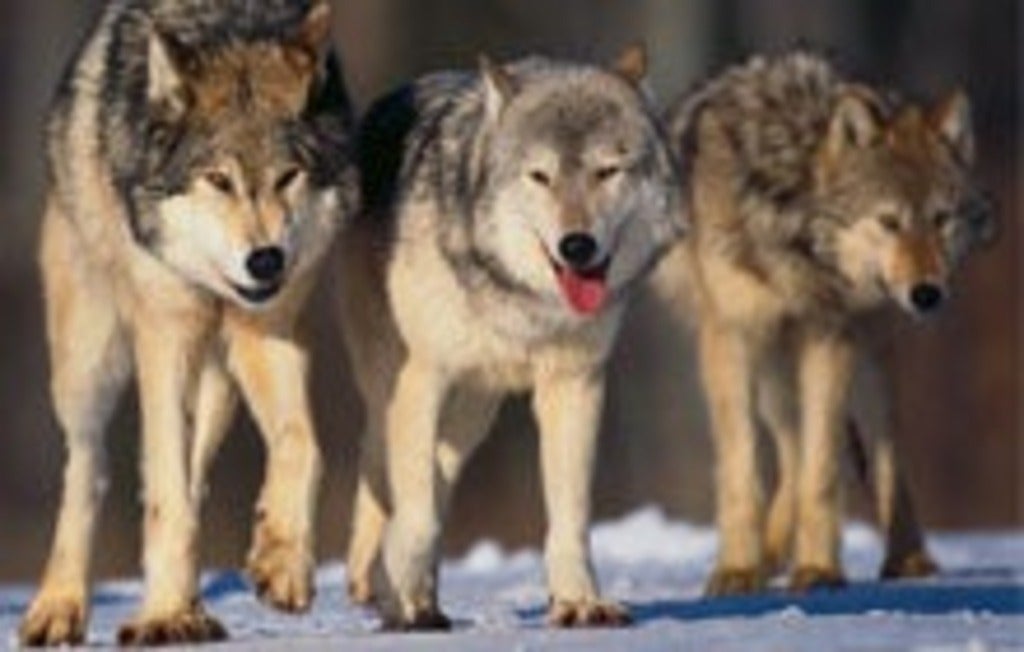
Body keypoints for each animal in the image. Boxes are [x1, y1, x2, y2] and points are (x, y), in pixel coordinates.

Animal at [19, 0, 356, 646]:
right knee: (90, 467)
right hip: (88, 362)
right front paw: (164, 616)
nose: (265, 260)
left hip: (218, 376)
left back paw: (192, 605)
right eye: (218, 179)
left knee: (190, 474)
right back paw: (61, 607)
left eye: (288, 176)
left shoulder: (266, 328)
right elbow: (165, 497)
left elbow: (302, 444)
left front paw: (281, 563)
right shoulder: (165, 334)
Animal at [335, 46, 683, 629]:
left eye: (606, 171)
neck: (522, 298)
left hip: (474, 412)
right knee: (380, 469)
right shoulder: (423, 379)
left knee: (438, 475)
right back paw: (379, 585)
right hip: (394, 385)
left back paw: (422, 601)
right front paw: (396, 582)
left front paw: (579, 602)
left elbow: (570, 517)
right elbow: (416, 513)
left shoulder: (575, 385)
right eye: (540, 176)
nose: (577, 246)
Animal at [655, 52, 994, 595]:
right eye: (889, 221)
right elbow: (744, 470)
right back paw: (769, 556)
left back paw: (907, 559)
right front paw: (738, 569)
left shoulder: (831, 336)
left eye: (941, 219)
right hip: (772, 368)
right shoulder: (733, 337)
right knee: (791, 455)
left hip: (866, 360)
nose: (927, 294)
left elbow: (823, 470)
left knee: (881, 455)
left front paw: (817, 569)